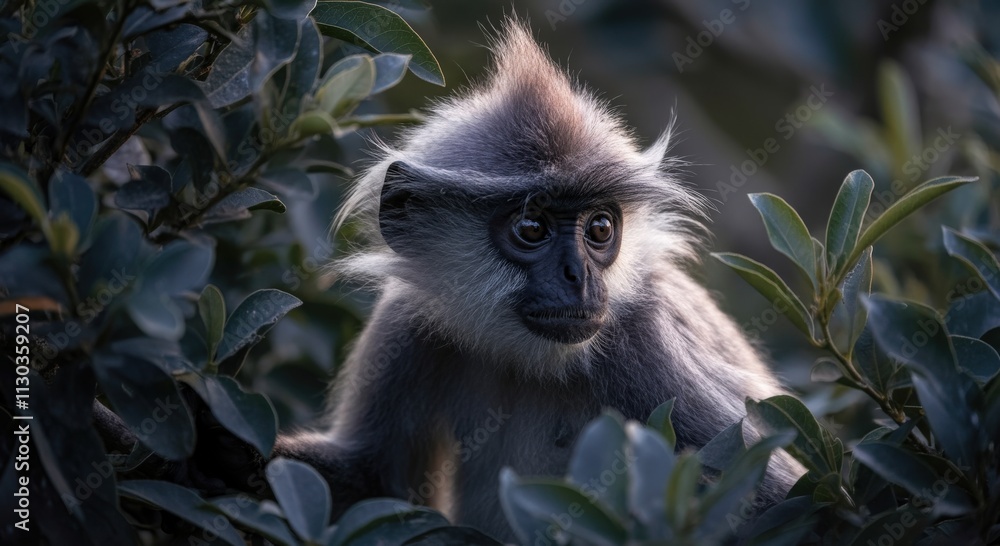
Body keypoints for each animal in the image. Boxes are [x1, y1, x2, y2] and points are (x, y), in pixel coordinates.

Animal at [263, 19, 803, 542]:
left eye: (599, 228)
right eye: (531, 228)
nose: (577, 275)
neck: (521, 361)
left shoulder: (646, 342)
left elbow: (788, 501)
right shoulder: (406, 326)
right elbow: (369, 478)